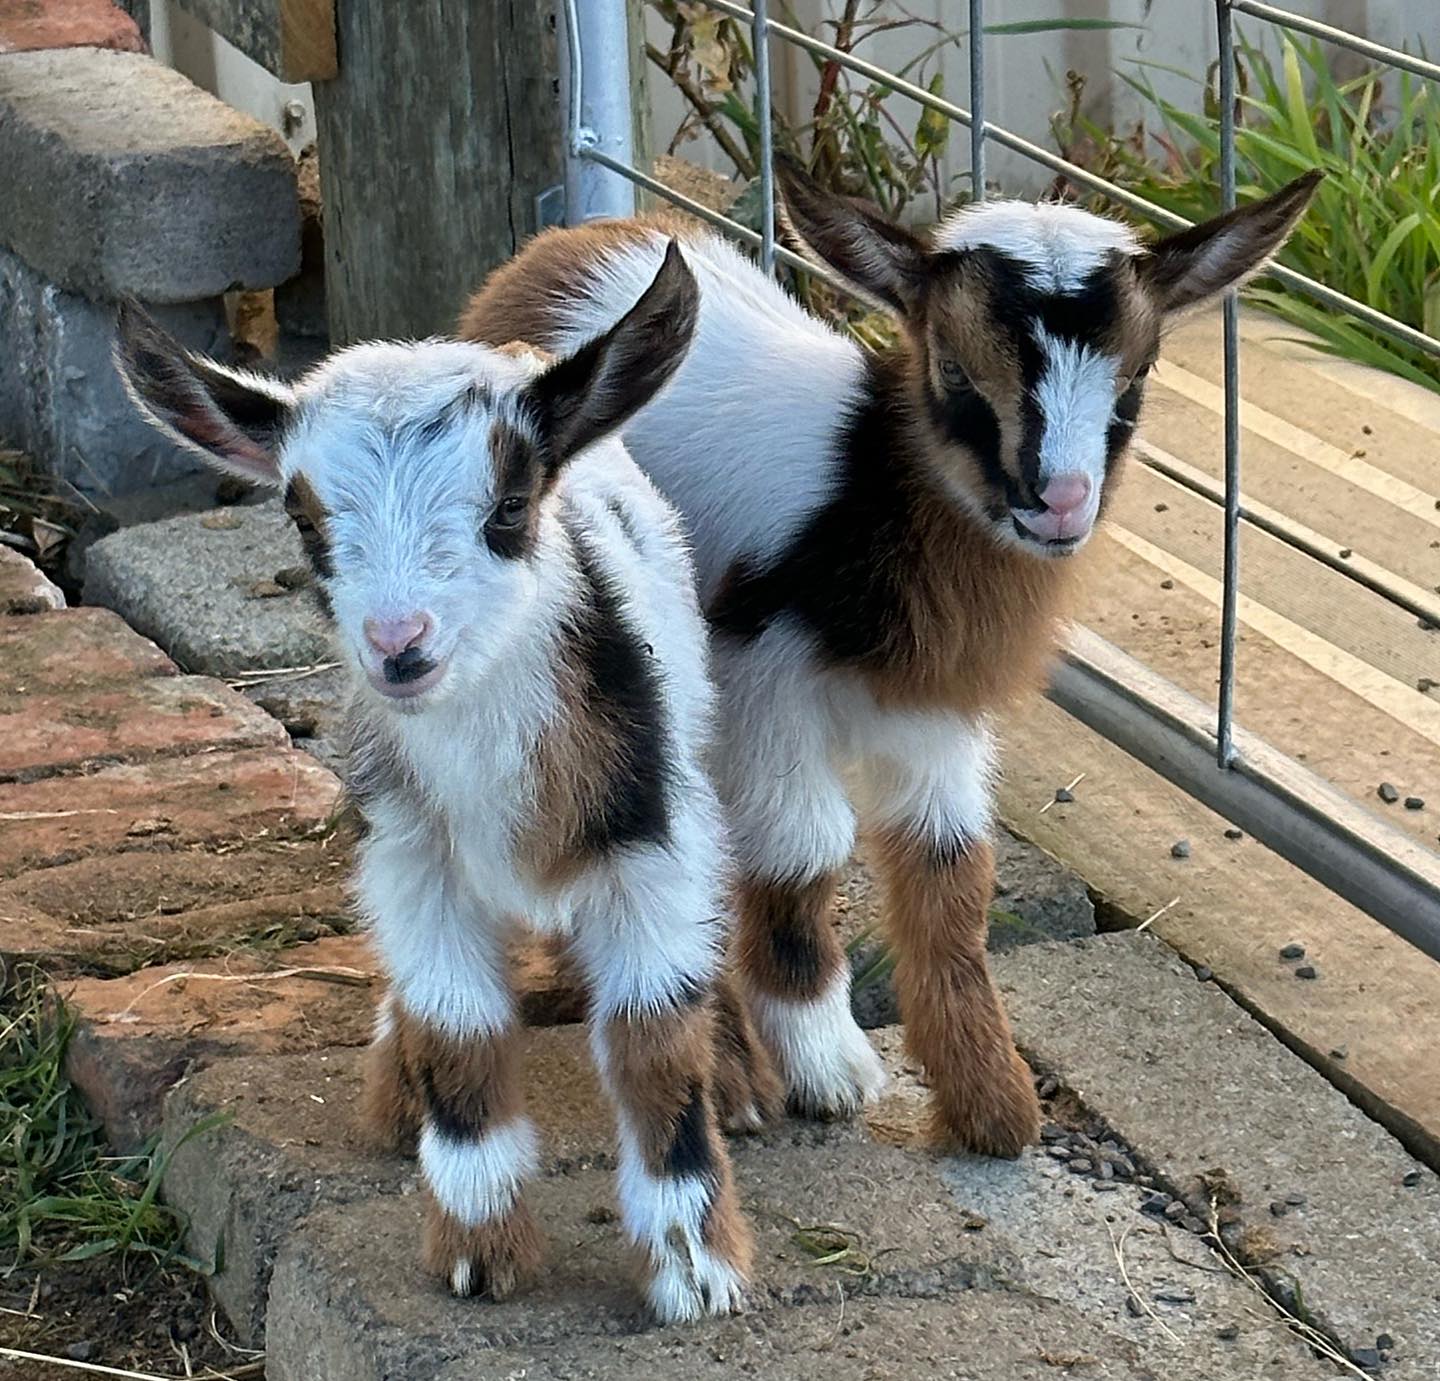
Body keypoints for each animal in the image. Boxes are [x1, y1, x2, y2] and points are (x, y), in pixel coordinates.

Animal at [114, 245, 758, 1323]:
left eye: (509, 506)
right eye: (303, 519)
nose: (399, 645)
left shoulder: (650, 842)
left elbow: (656, 1041)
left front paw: (696, 1269)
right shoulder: (413, 857)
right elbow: (458, 1033)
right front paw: (477, 1248)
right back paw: (394, 1078)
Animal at [460, 165, 1321, 1158]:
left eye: (1137, 374)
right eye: (952, 367)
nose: (1060, 502)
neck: (868, 494)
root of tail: (564, 247)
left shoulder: (936, 710)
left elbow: (951, 867)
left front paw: (991, 1101)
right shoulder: (761, 683)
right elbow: (801, 849)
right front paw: (824, 1064)